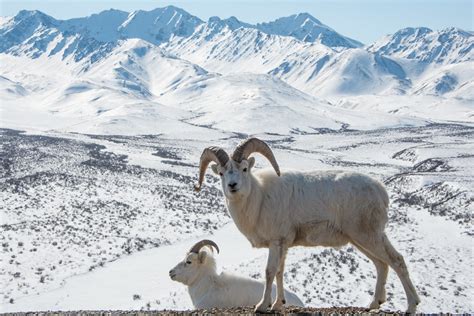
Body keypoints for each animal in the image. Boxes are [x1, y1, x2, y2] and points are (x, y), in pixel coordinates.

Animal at [194, 138, 420, 314]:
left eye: (244, 169)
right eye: (221, 173)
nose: (233, 186)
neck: (259, 198)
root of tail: (381, 191)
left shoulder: (276, 242)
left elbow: (269, 272)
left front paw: (262, 306)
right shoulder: (283, 244)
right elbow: (280, 272)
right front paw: (278, 305)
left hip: (368, 236)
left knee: (396, 261)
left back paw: (411, 306)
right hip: (361, 239)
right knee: (382, 264)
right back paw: (374, 304)